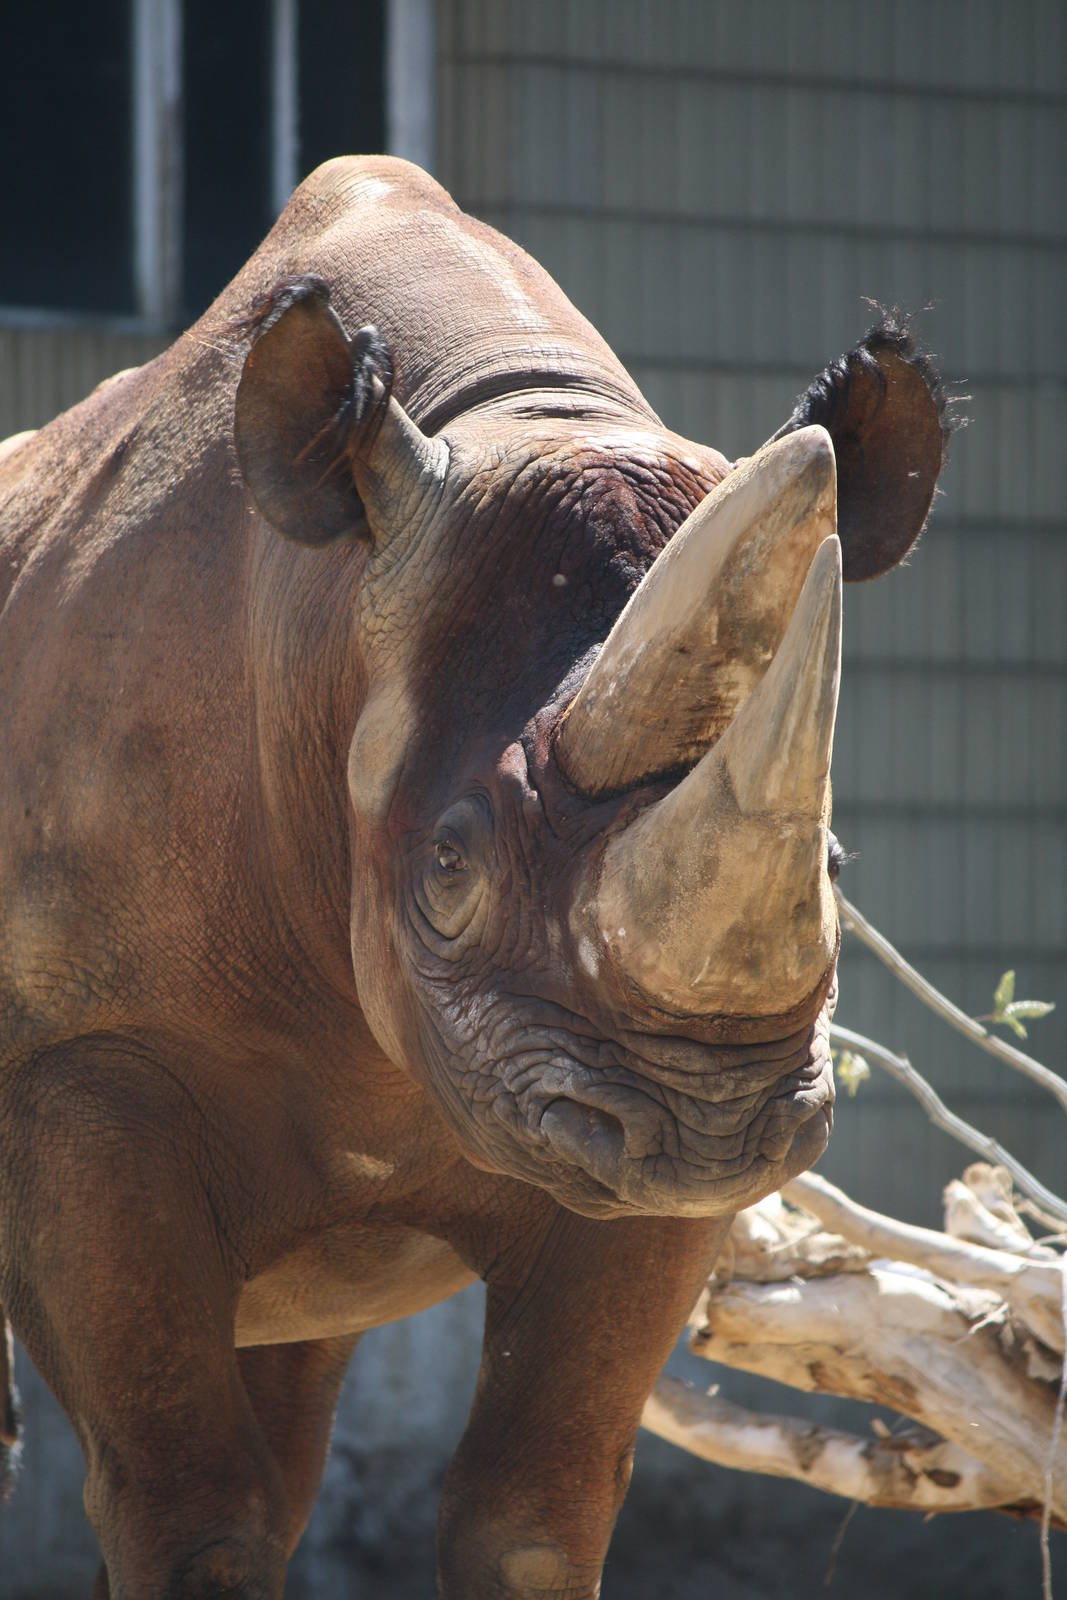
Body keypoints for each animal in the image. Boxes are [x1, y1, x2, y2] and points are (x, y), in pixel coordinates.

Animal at [0, 157, 948, 1598]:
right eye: (448, 866)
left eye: (834, 864)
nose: (711, 1127)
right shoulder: (83, 1052)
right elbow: (187, 1508)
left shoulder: (626, 1158)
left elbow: (531, 1511)